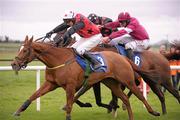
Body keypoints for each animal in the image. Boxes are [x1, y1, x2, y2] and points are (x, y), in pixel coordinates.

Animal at [11, 35, 160, 120]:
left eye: (25, 50)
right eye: (19, 49)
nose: (14, 64)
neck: (59, 60)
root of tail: (122, 57)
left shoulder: (71, 86)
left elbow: (70, 105)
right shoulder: (51, 84)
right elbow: (33, 96)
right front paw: (17, 112)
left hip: (127, 80)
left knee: (139, 95)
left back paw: (154, 112)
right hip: (111, 83)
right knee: (125, 98)